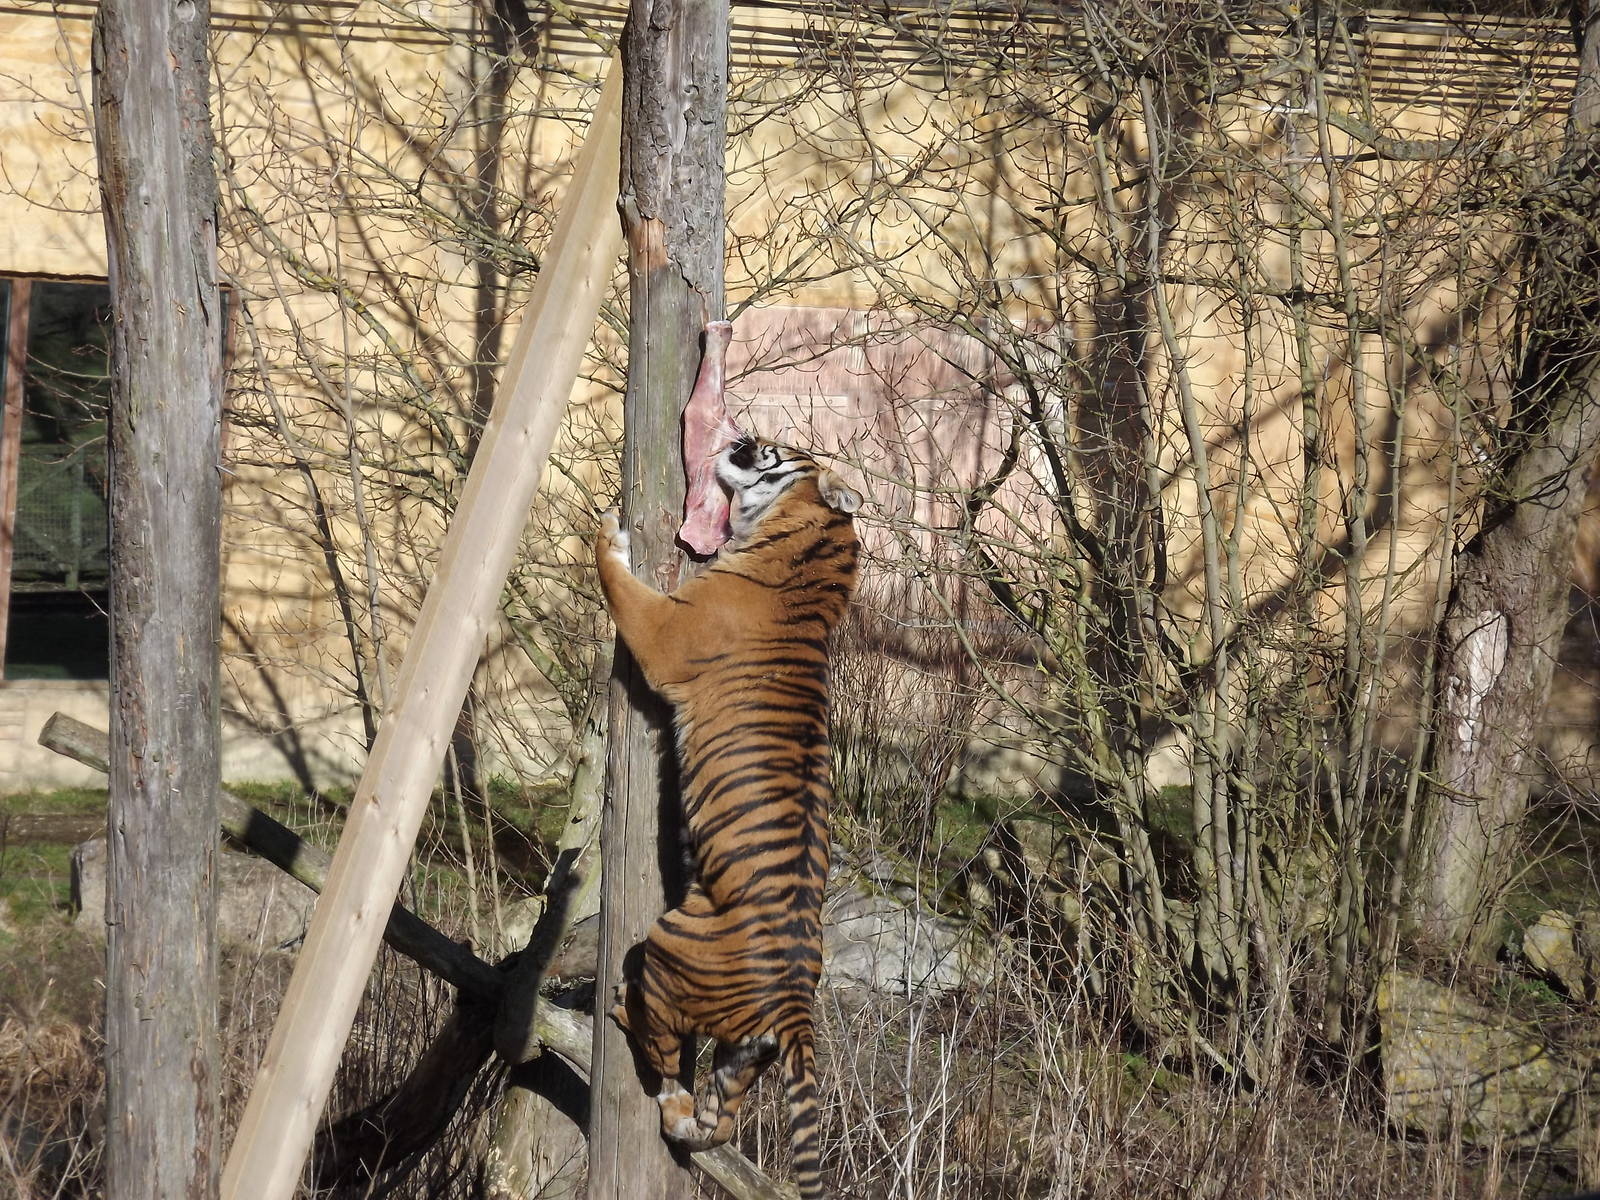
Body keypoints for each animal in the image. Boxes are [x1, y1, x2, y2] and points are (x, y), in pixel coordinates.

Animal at [594, 433, 861, 1200]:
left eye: (774, 450)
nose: (739, 436)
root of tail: (795, 1009)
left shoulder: (663, 630)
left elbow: (619, 585)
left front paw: (608, 532)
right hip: (746, 1053)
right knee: (714, 1121)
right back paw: (685, 1112)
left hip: (669, 943)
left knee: (660, 1050)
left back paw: (622, 1008)